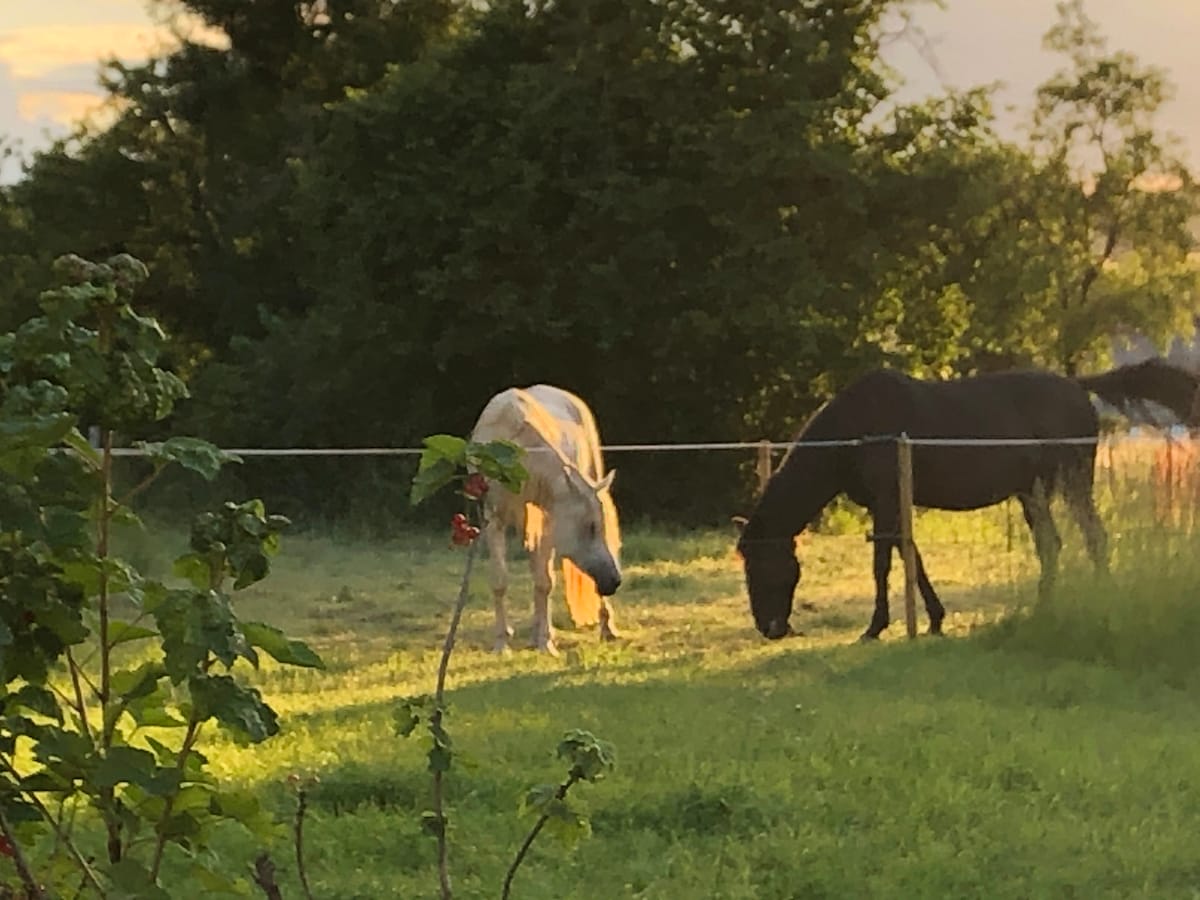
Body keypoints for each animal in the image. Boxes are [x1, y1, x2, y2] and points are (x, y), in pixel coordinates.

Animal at [468, 386, 624, 657]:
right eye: (590, 526)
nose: (613, 581)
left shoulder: (546, 521)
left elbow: (544, 582)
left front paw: (546, 644)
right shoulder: (493, 519)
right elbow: (500, 580)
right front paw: (502, 644)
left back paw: (605, 629)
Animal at [734, 360, 1200, 643]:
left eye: (763, 567)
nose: (771, 628)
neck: (856, 429)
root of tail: (1075, 385)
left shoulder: (885, 500)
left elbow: (884, 562)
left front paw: (875, 626)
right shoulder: (893, 502)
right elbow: (910, 555)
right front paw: (935, 619)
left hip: (1073, 483)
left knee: (1093, 538)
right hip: (1032, 493)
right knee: (1052, 545)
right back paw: (1043, 609)